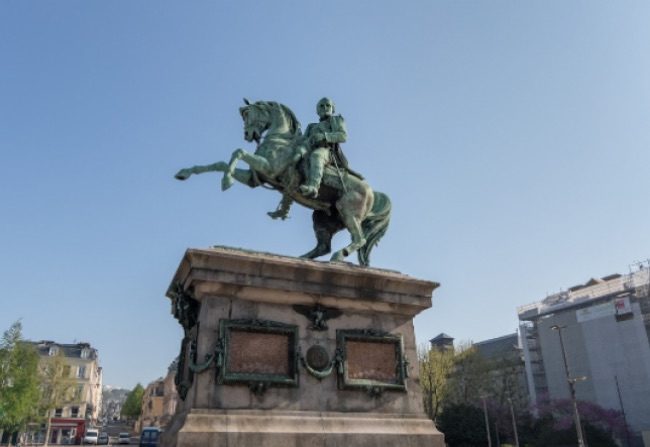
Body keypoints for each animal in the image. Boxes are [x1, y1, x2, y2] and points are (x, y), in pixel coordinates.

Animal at [173, 100, 390, 266]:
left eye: (249, 114)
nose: (248, 135)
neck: (280, 139)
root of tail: (372, 192)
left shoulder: (268, 168)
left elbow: (238, 152)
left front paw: (226, 181)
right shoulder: (255, 178)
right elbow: (219, 163)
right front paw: (185, 173)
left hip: (349, 213)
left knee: (359, 239)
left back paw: (338, 256)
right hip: (323, 219)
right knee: (323, 246)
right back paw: (302, 258)